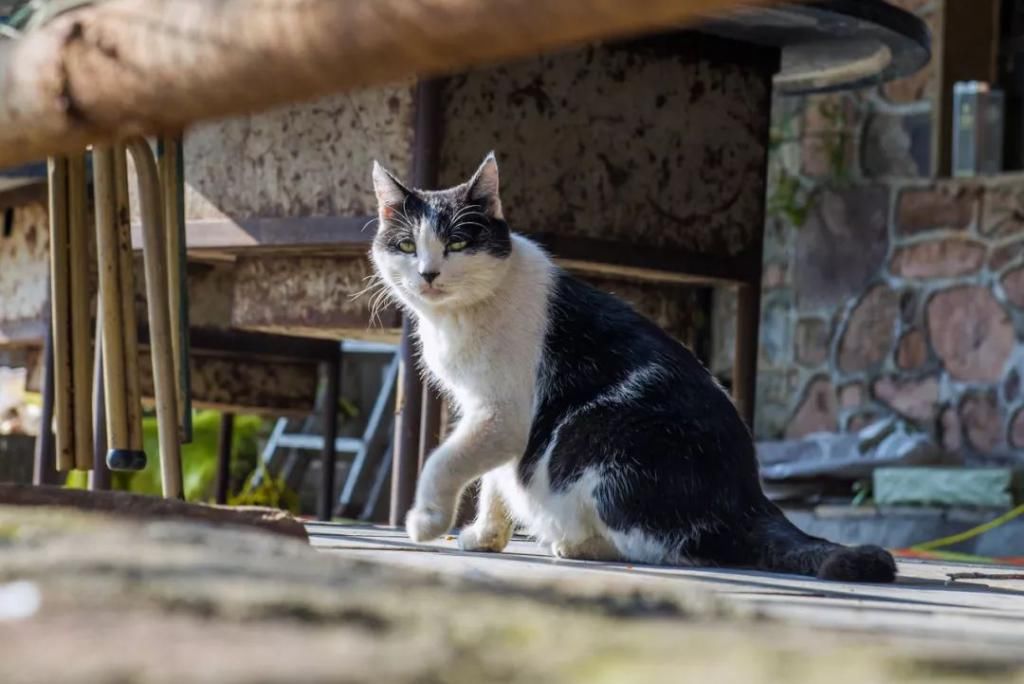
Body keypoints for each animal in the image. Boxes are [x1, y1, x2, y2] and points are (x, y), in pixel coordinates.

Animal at [370, 152, 897, 581]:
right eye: (406, 246)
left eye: (457, 244)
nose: (428, 274)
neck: (457, 318)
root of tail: (752, 498)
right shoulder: (483, 413)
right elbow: (495, 480)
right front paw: (485, 536)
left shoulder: (503, 413)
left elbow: (446, 459)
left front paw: (426, 520)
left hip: (597, 436)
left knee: (673, 548)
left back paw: (577, 544)